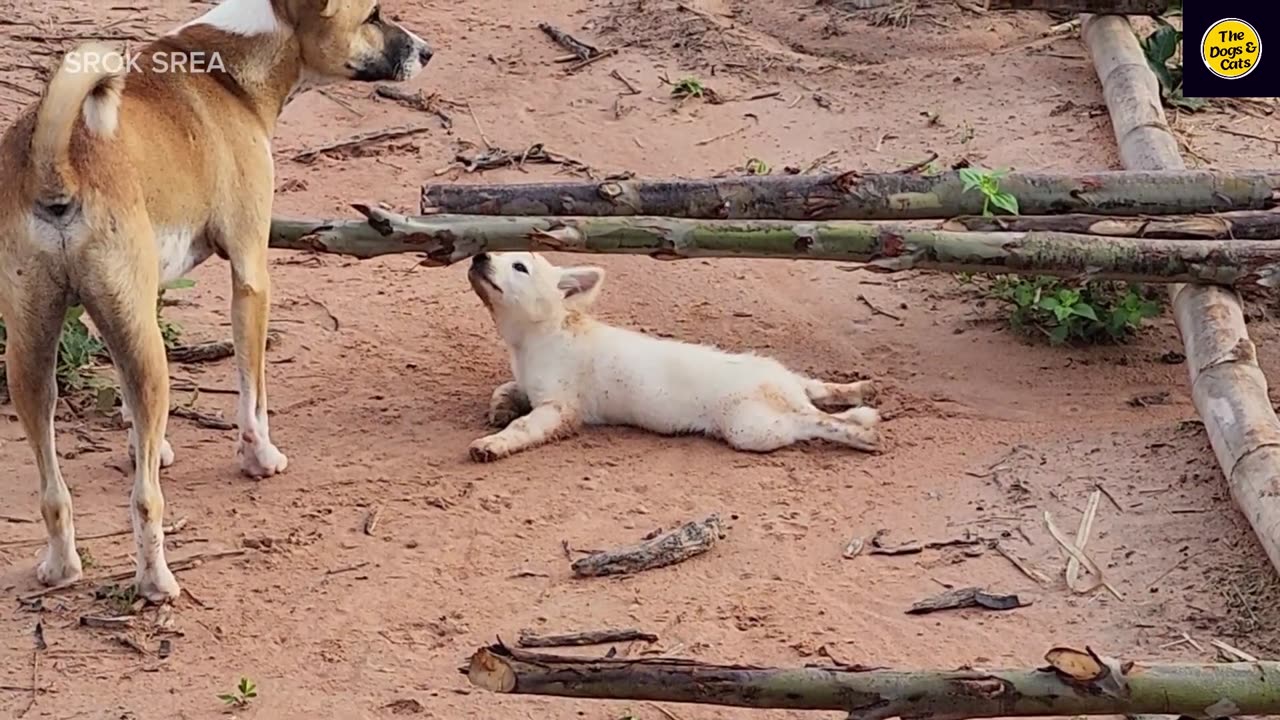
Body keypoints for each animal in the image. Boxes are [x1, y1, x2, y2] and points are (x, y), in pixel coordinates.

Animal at [0, 0, 432, 599]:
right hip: (145, 355)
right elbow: (254, 396)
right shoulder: (251, 275)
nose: (427, 51)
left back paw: (63, 567)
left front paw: (148, 448)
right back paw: (156, 581)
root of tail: (57, 159)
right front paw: (260, 457)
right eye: (373, 15)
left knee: (53, 493)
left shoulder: (136, 307)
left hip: (32, 355)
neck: (225, 70)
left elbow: (136, 418)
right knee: (145, 501)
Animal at [465, 251, 885, 458]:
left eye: (519, 267)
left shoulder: (559, 407)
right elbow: (505, 388)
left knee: (816, 422)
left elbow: (524, 427)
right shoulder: (528, 383)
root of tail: (782, 389)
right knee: (817, 390)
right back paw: (859, 391)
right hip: (778, 381)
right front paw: (499, 408)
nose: (479, 256)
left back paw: (863, 436)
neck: (537, 335)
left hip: (753, 428)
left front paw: (491, 444)